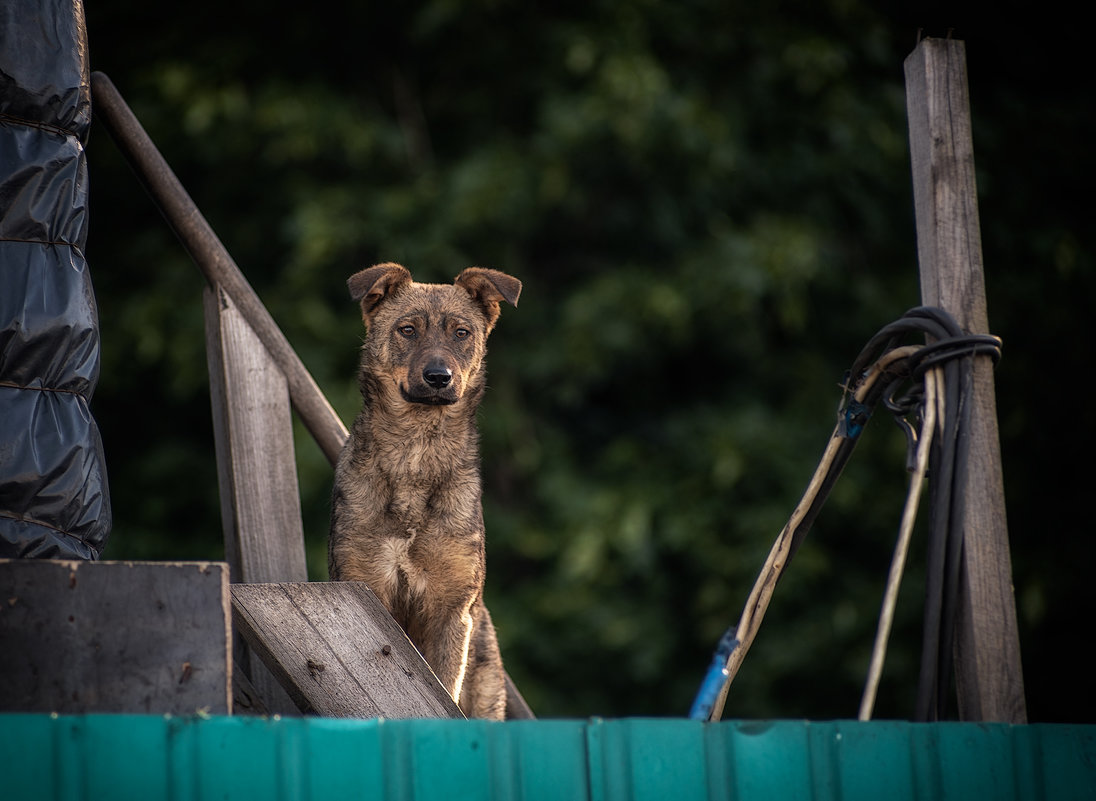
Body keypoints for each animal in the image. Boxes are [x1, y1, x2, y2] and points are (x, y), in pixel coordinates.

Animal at [328, 261, 521, 718]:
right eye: (408, 330)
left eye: (462, 332)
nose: (438, 377)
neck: (417, 451)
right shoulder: (365, 587)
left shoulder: (450, 610)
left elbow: (444, 691)